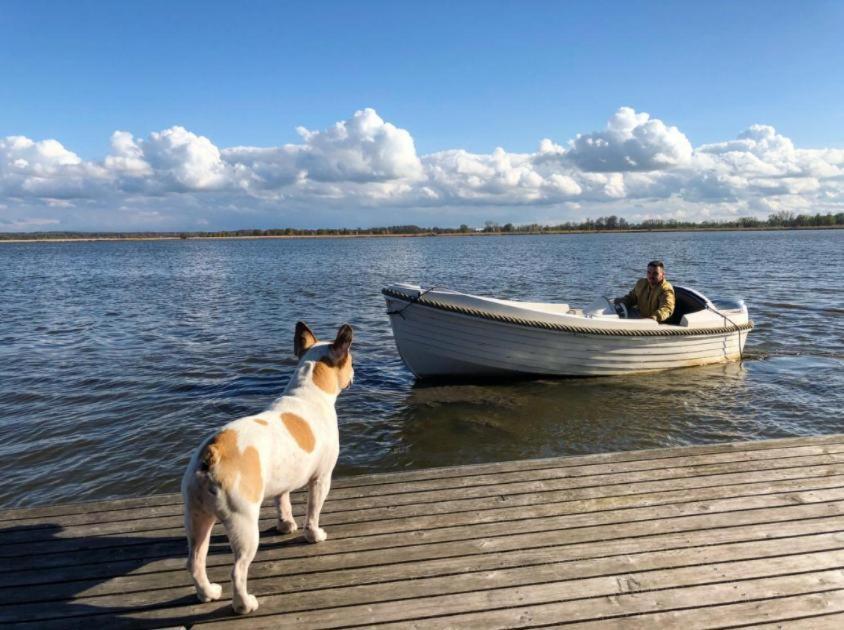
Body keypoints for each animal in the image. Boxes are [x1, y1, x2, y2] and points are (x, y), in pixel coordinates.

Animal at [181, 324, 352, 616]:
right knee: (237, 571)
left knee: (195, 560)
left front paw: (286, 526)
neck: (308, 391)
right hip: (244, 524)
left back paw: (207, 593)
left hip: (197, 516)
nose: (354, 373)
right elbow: (313, 511)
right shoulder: (322, 479)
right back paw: (244, 605)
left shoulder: (281, 484)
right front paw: (313, 535)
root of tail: (212, 452)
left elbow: (283, 503)